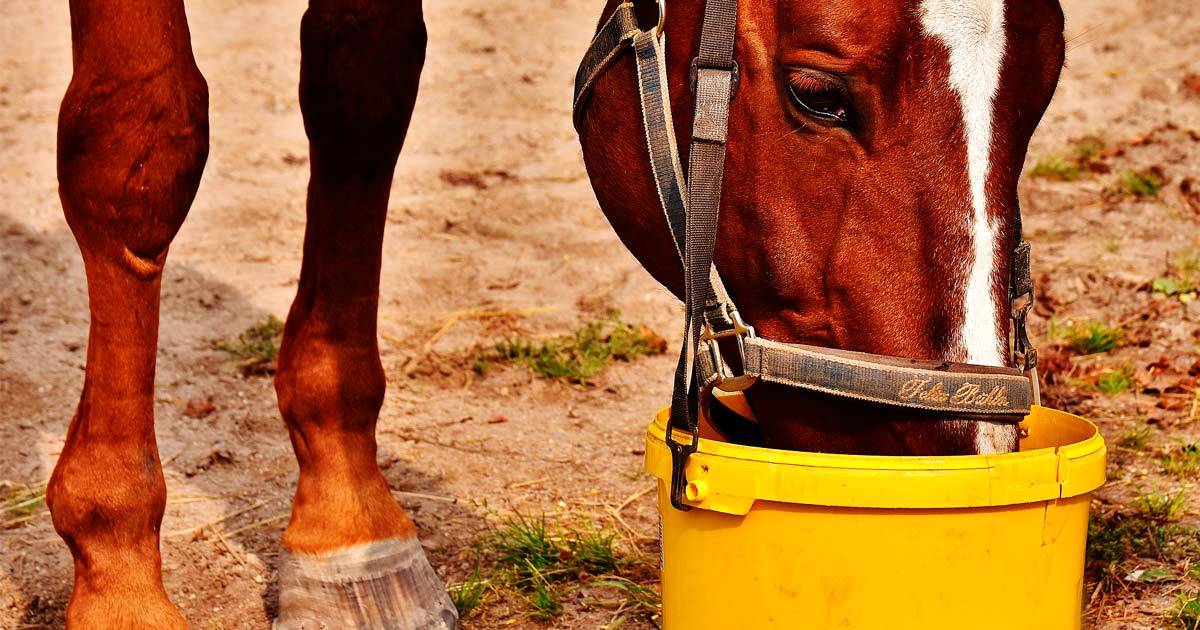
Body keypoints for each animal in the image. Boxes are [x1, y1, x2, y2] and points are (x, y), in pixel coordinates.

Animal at [44, 0, 1060, 624]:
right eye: (818, 93)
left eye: (1045, 87)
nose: (965, 455)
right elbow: (140, 147)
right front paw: (119, 578)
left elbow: (361, 88)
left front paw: (347, 529)